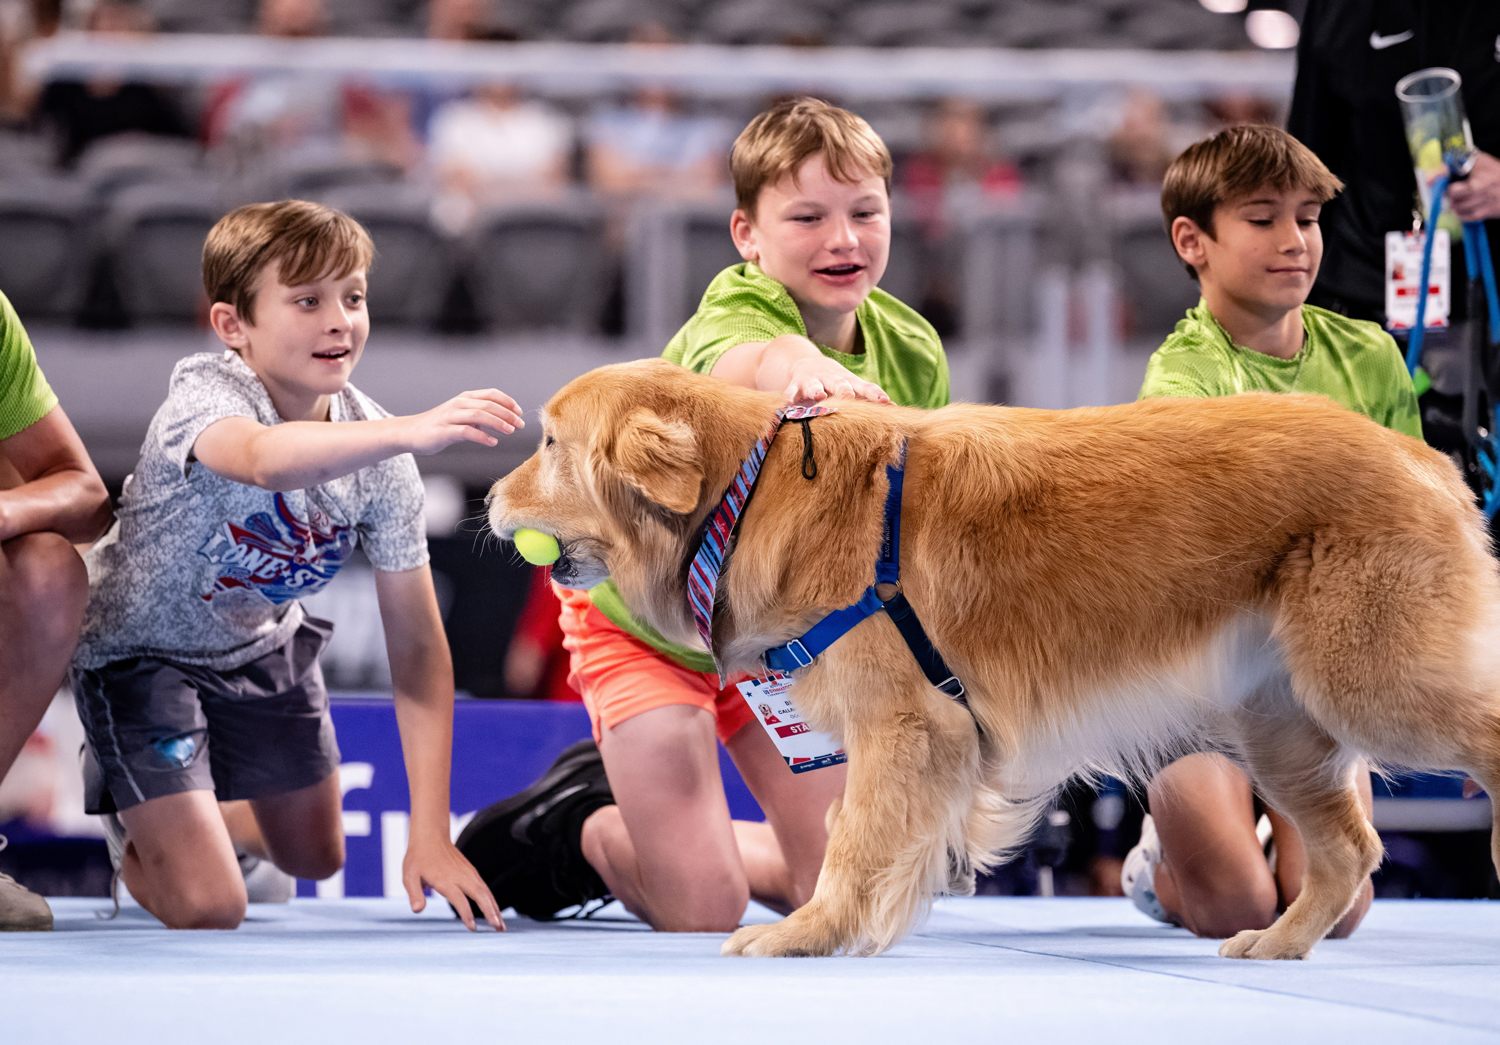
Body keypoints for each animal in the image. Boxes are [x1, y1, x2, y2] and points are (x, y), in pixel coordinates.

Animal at [486, 361, 1494, 959]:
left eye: (548, 444)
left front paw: (811, 930)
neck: (757, 482)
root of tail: (1425, 457)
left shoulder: (905, 726)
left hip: (1374, 686)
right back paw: (1278, 942)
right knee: (1351, 849)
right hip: (1280, 725)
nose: (489, 496)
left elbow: (851, 842)